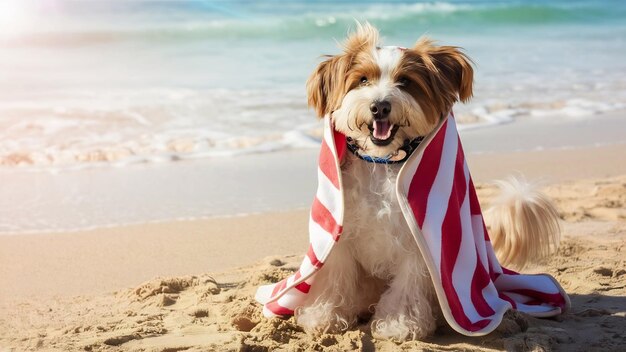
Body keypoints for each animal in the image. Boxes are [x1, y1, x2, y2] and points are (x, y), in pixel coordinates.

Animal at [288, 22, 560, 340]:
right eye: (362, 80)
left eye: (405, 82)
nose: (380, 106)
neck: (382, 163)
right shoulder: (339, 235)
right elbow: (335, 278)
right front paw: (325, 315)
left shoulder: (420, 242)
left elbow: (408, 284)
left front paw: (399, 323)